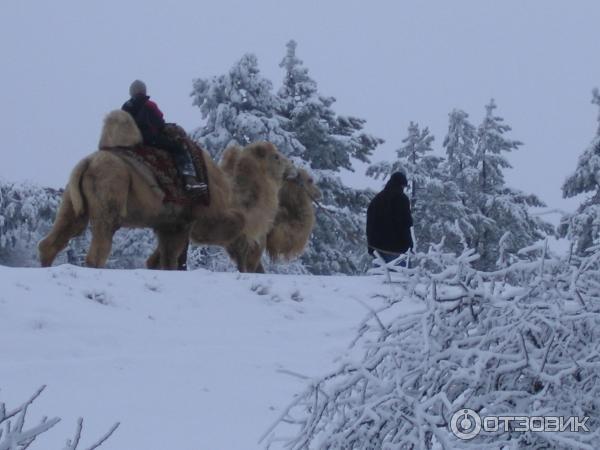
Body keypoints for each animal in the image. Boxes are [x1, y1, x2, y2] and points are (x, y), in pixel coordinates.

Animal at [38, 110, 260, 268]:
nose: (253, 266)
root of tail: (87, 163)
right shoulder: (185, 220)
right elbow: (171, 258)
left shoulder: (169, 223)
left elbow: (162, 259)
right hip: (110, 192)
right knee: (99, 247)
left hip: (72, 203)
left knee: (57, 237)